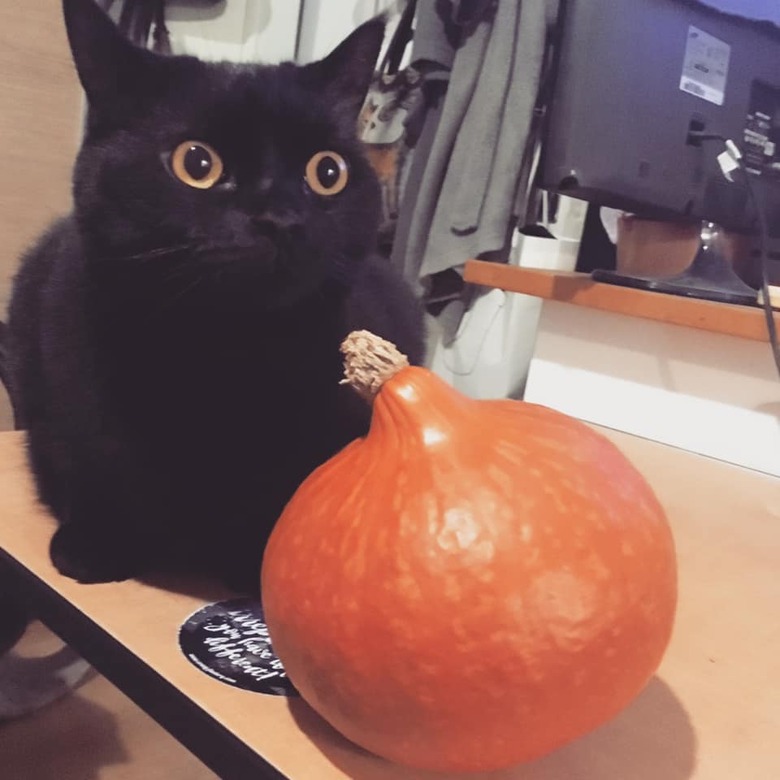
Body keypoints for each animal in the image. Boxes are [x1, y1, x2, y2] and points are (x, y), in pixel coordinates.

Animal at [6, 0, 424, 592]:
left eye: (327, 172)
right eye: (197, 163)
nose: (282, 219)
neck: (222, 357)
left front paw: (255, 562)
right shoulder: (72, 409)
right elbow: (95, 462)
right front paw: (94, 544)